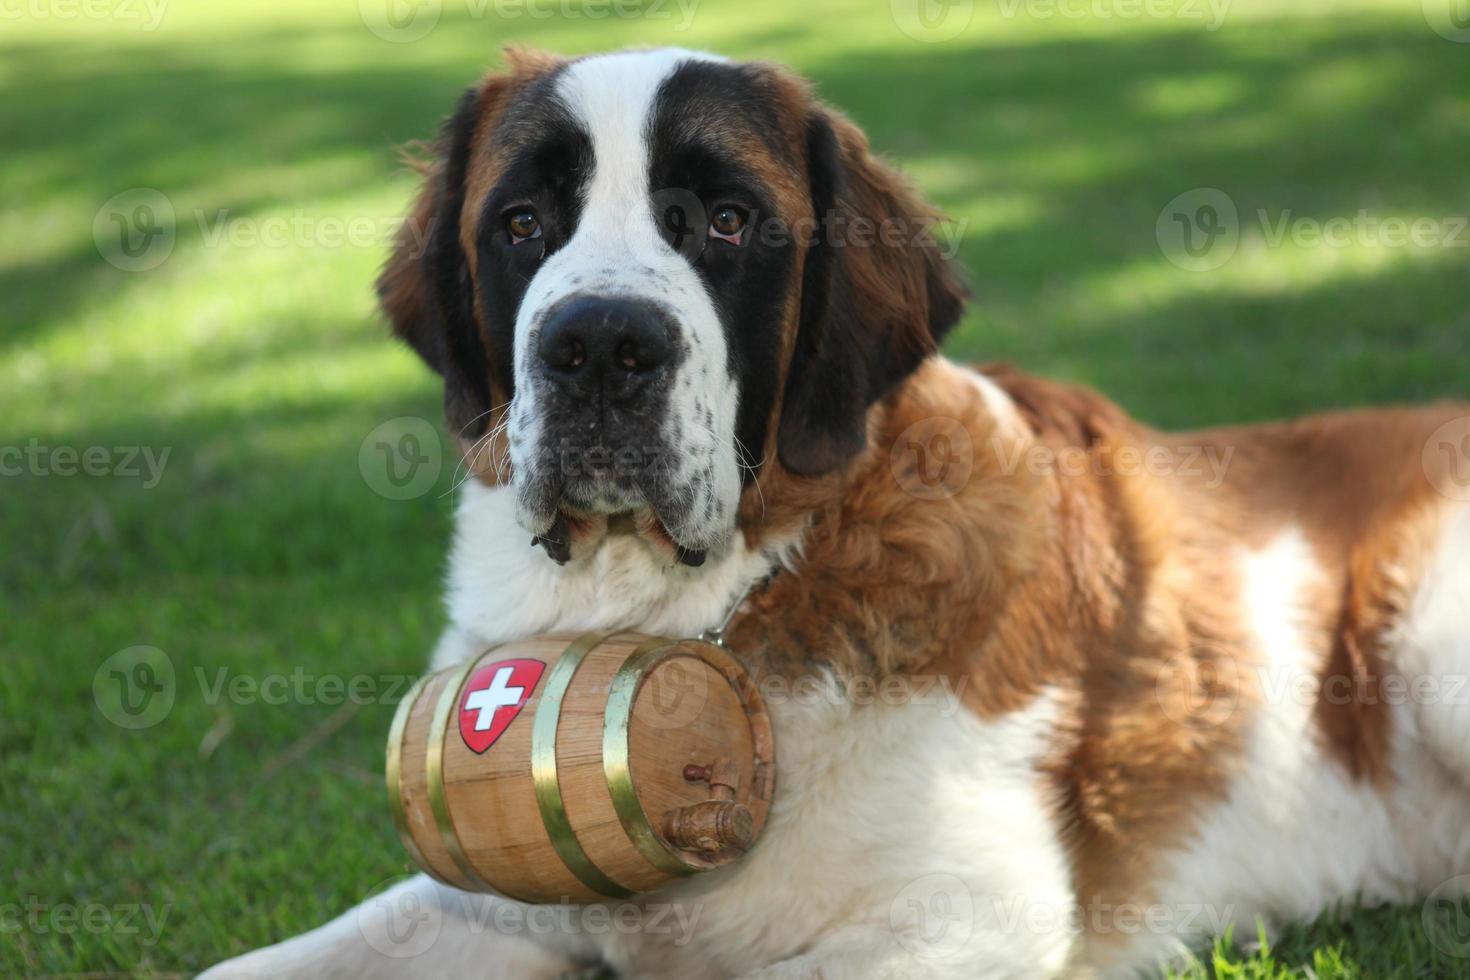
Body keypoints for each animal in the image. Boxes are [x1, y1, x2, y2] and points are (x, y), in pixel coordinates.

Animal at [204, 44, 1470, 975]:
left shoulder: (972, 912)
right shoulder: (493, 891)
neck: (709, 600)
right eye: (522, 225)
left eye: (725, 221)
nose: (600, 343)